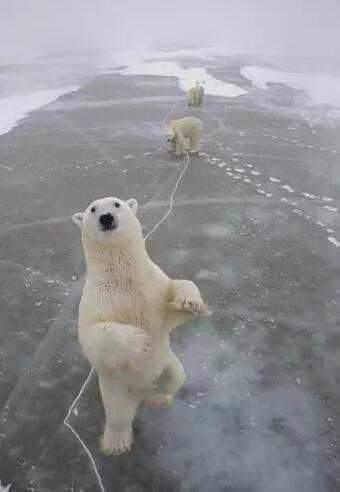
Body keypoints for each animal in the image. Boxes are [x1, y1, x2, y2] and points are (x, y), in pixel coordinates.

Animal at [72, 197, 210, 458]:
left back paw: (158, 397)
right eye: (93, 209)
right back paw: (115, 444)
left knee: (174, 378)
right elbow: (94, 332)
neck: (123, 278)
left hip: (168, 364)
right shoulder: (98, 298)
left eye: (116, 203)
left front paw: (192, 304)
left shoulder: (153, 286)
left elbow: (175, 297)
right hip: (115, 387)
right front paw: (140, 339)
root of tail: (140, 392)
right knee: (118, 416)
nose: (106, 217)